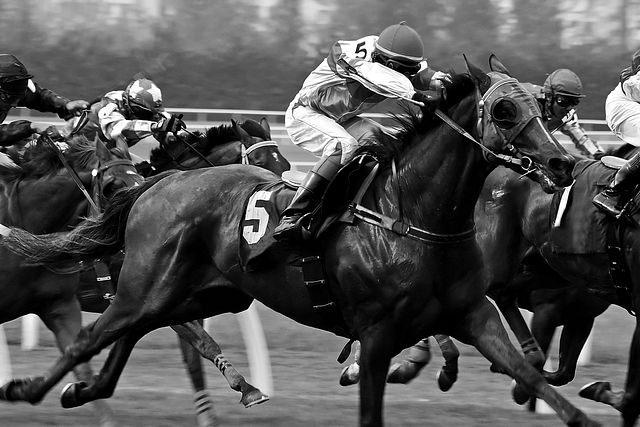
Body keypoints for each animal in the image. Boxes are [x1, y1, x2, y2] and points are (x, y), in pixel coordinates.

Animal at [0, 55, 600, 426]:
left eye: (541, 108)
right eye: (504, 109)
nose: (561, 162)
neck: (411, 214)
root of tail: (157, 183)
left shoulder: (472, 316)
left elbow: (534, 377)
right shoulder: (378, 334)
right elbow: (373, 403)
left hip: (202, 292)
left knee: (142, 332)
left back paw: (85, 390)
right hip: (145, 284)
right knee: (91, 337)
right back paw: (30, 389)